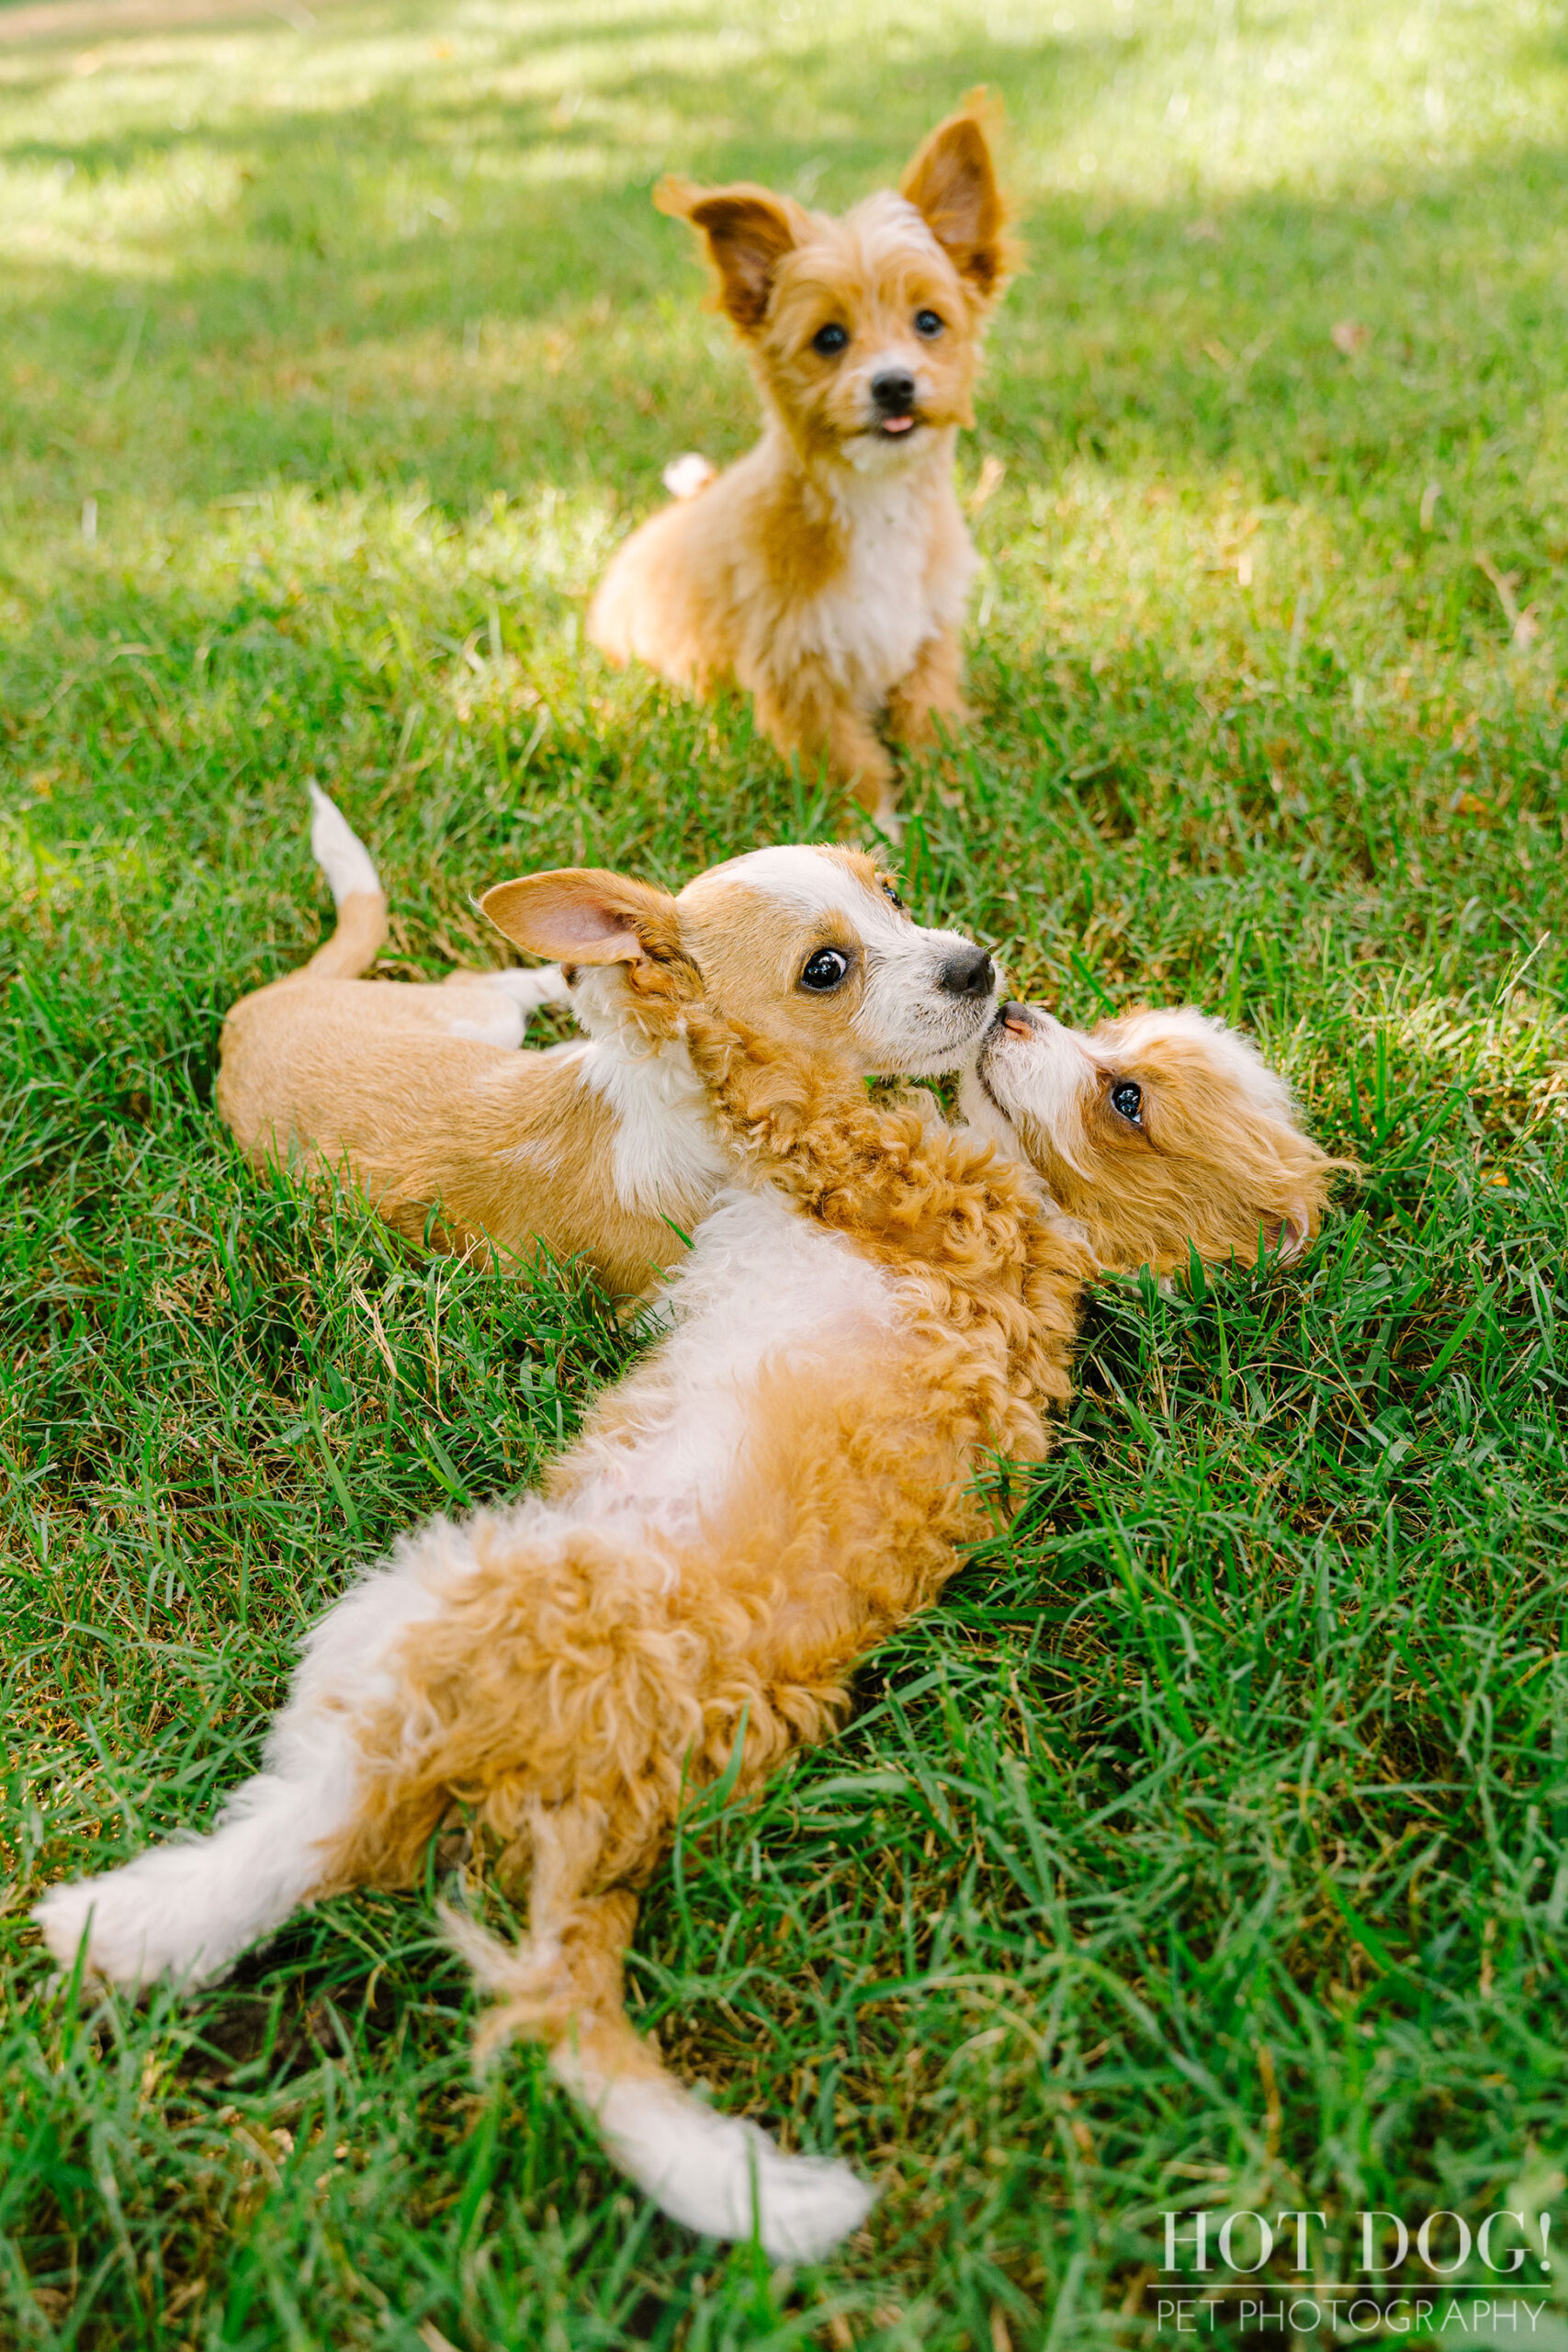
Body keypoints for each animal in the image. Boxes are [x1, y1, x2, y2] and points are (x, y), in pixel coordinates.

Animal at [587, 91, 1020, 828]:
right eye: (829, 339)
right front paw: (876, 831)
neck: (873, 505)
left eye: (928, 322)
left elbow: (928, 722)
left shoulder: (927, 641)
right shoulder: (799, 675)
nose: (893, 384)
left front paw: (951, 796)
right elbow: (848, 763)